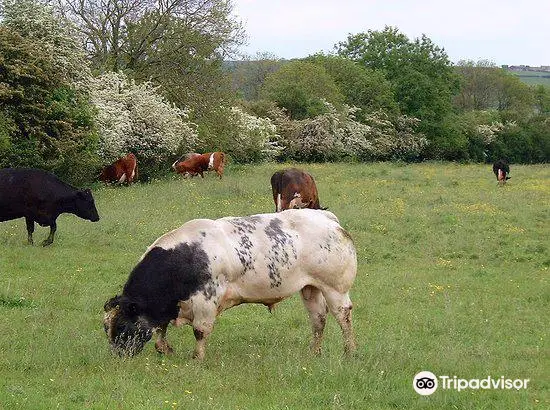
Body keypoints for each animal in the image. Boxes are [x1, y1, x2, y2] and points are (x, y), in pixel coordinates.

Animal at [103, 210, 358, 360]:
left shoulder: (206, 300)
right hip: (311, 288)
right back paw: (314, 352)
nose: (118, 356)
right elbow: (159, 329)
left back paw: (350, 351)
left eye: (122, 326)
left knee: (343, 316)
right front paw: (164, 349)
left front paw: (197, 358)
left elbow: (200, 330)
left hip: (336, 288)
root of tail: (327, 218)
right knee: (318, 319)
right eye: (106, 328)